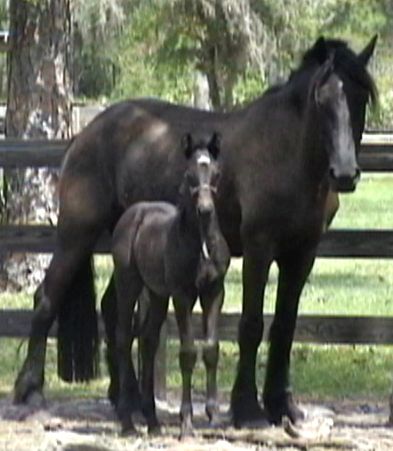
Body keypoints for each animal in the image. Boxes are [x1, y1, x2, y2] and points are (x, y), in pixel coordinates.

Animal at [112, 132, 230, 436]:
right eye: (189, 174)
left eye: (216, 173)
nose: (205, 210)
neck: (201, 244)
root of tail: (133, 212)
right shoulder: (182, 295)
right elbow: (187, 352)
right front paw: (186, 422)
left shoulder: (214, 291)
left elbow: (211, 349)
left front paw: (214, 416)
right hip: (129, 283)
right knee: (123, 337)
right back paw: (127, 421)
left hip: (156, 294)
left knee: (148, 340)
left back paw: (152, 421)